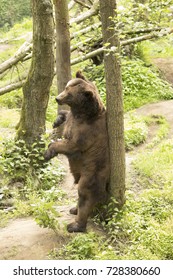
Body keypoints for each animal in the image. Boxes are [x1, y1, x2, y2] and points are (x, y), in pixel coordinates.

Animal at [44, 71, 109, 233]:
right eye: (66, 87)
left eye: (69, 93)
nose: (57, 98)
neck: (82, 113)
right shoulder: (73, 119)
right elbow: (66, 116)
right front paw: (57, 119)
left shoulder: (86, 132)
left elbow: (72, 145)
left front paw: (49, 151)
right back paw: (74, 209)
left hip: (92, 171)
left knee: (85, 193)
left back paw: (75, 224)